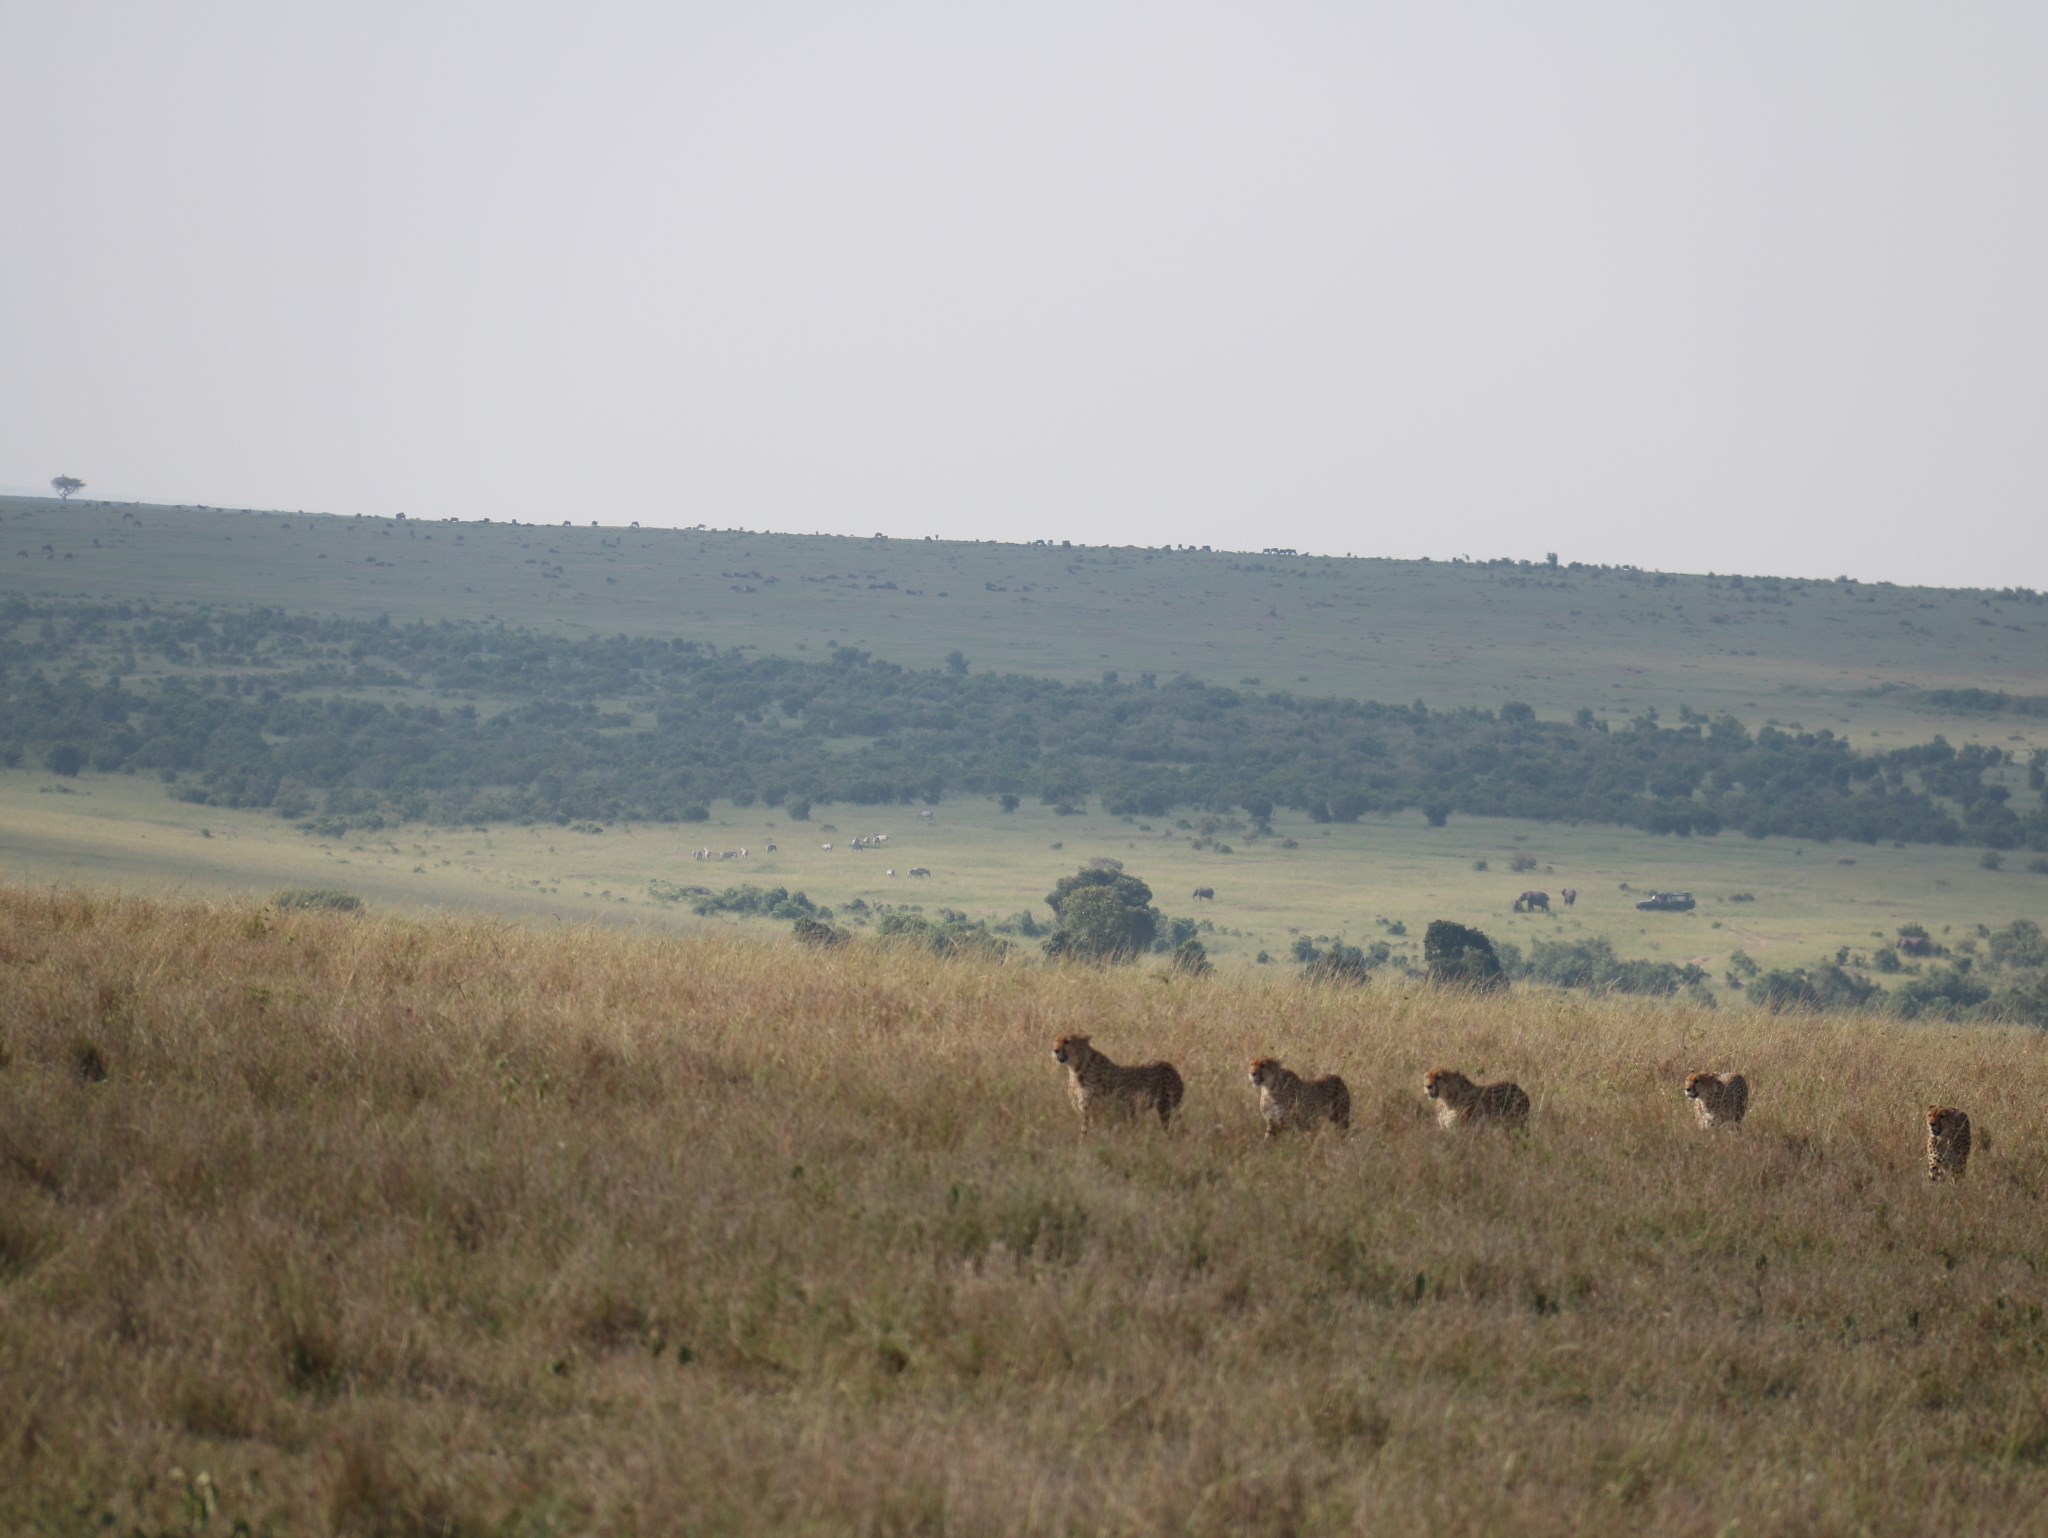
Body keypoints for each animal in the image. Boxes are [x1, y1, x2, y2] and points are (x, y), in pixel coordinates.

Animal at [1056, 1036, 1187, 1130]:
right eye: (1056, 1041)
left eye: (1067, 1041)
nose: (1055, 1050)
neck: (1076, 1069)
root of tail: (1169, 1065)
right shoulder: (1088, 1113)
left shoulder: (1095, 1111)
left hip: (1164, 1107)